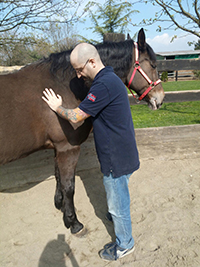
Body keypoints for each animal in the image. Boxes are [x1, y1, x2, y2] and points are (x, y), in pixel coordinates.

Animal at [0, 28, 165, 236]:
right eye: (153, 64)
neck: (61, 85)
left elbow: (58, 177)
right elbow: (69, 186)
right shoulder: (68, 148)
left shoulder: (59, 148)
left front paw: (60, 205)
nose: (160, 98)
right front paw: (73, 222)